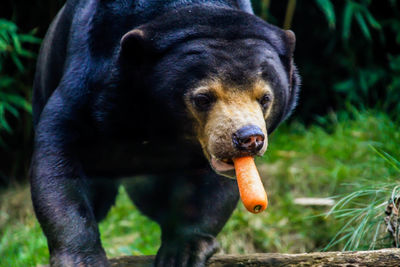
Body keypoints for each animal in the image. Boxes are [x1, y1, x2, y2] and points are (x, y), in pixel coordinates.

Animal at [32, 0, 300, 266]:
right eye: (203, 98)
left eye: (265, 98)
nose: (249, 139)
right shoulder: (88, 84)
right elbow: (59, 160)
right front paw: (83, 259)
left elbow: (212, 187)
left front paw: (183, 251)